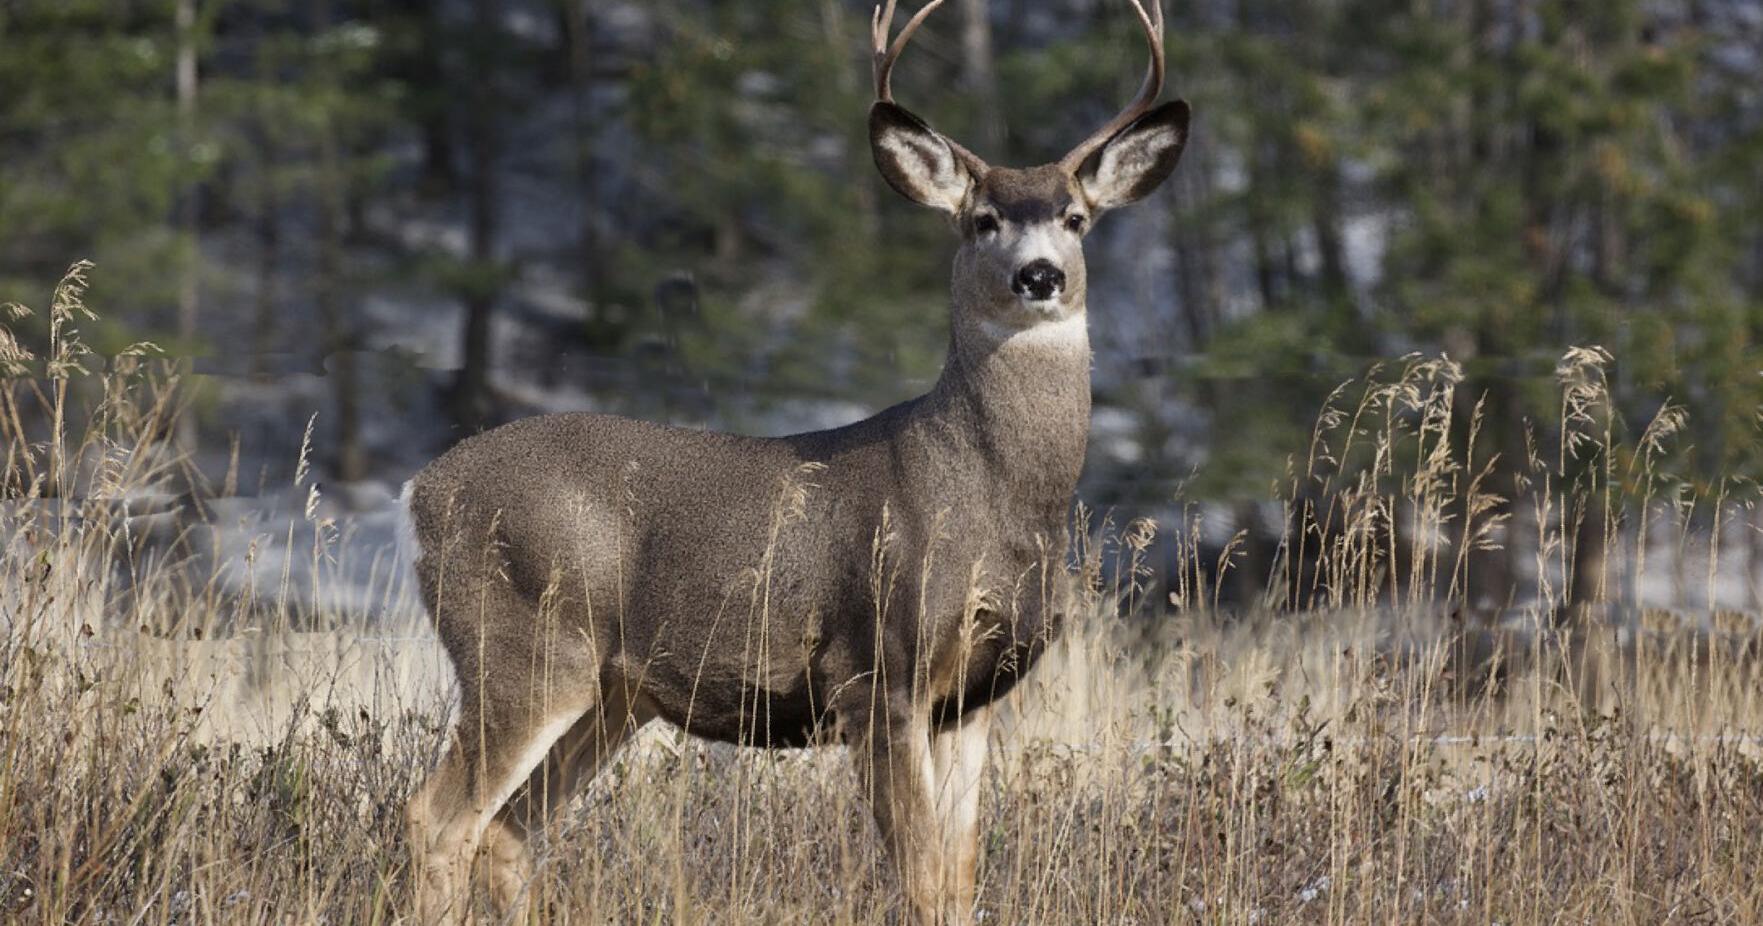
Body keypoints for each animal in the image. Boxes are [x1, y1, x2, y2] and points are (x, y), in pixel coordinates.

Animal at [405, 3, 1191, 917]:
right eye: (982, 219)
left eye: (1074, 217)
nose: (1038, 275)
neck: (994, 501)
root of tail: (420, 492)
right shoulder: (877, 672)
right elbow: (921, 878)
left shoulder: (974, 699)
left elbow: (960, 879)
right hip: (519, 647)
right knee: (438, 817)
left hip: (613, 692)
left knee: (508, 830)